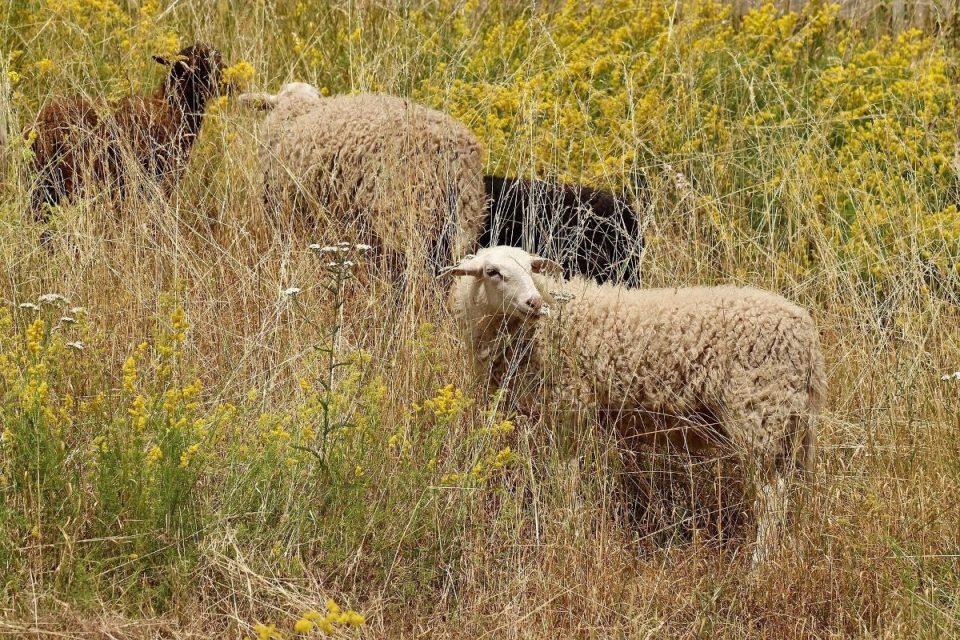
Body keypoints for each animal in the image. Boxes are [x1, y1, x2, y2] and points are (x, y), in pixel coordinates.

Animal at [442, 245, 824, 564]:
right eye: (492, 271)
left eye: (530, 268)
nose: (534, 303)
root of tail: (805, 329)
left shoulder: (569, 407)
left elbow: (566, 477)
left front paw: (571, 529)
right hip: (787, 420)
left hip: (758, 411)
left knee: (772, 496)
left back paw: (759, 564)